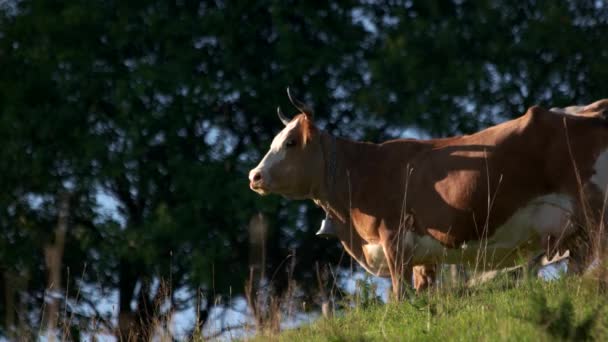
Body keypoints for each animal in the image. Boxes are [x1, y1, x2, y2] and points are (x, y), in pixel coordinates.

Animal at [248, 91, 608, 300]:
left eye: (290, 141)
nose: (254, 176)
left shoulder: (394, 239)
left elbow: (399, 295)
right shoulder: (423, 256)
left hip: (595, 210)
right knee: (578, 266)